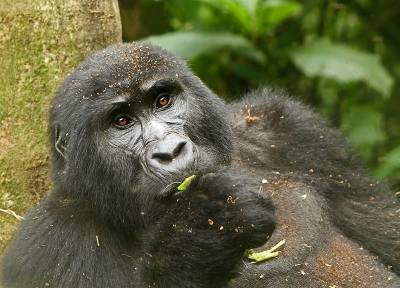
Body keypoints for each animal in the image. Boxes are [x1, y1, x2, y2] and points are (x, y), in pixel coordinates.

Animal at [0, 43, 400, 288]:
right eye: (122, 122)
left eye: (163, 100)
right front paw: (203, 229)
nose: (170, 151)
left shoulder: (287, 128)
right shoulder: (50, 242)